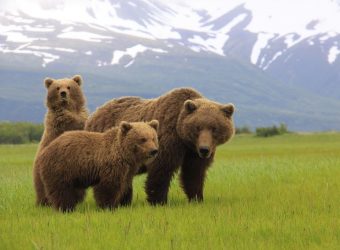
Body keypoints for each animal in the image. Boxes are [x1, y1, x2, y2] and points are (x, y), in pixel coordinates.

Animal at [33, 74, 88, 207]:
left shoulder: (81, 113)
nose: (63, 93)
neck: (68, 108)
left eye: (69, 87)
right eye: (57, 88)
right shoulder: (60, 122)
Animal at [85, 88, 235, 205]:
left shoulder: (193, 152)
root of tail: (95, 113)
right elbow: (161, 169)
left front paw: (197, 198)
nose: (204, 149)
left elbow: (194, 173)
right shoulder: (167, 141)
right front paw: (159, 201)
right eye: (198, 127)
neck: (184, 139)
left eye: (214, 128)